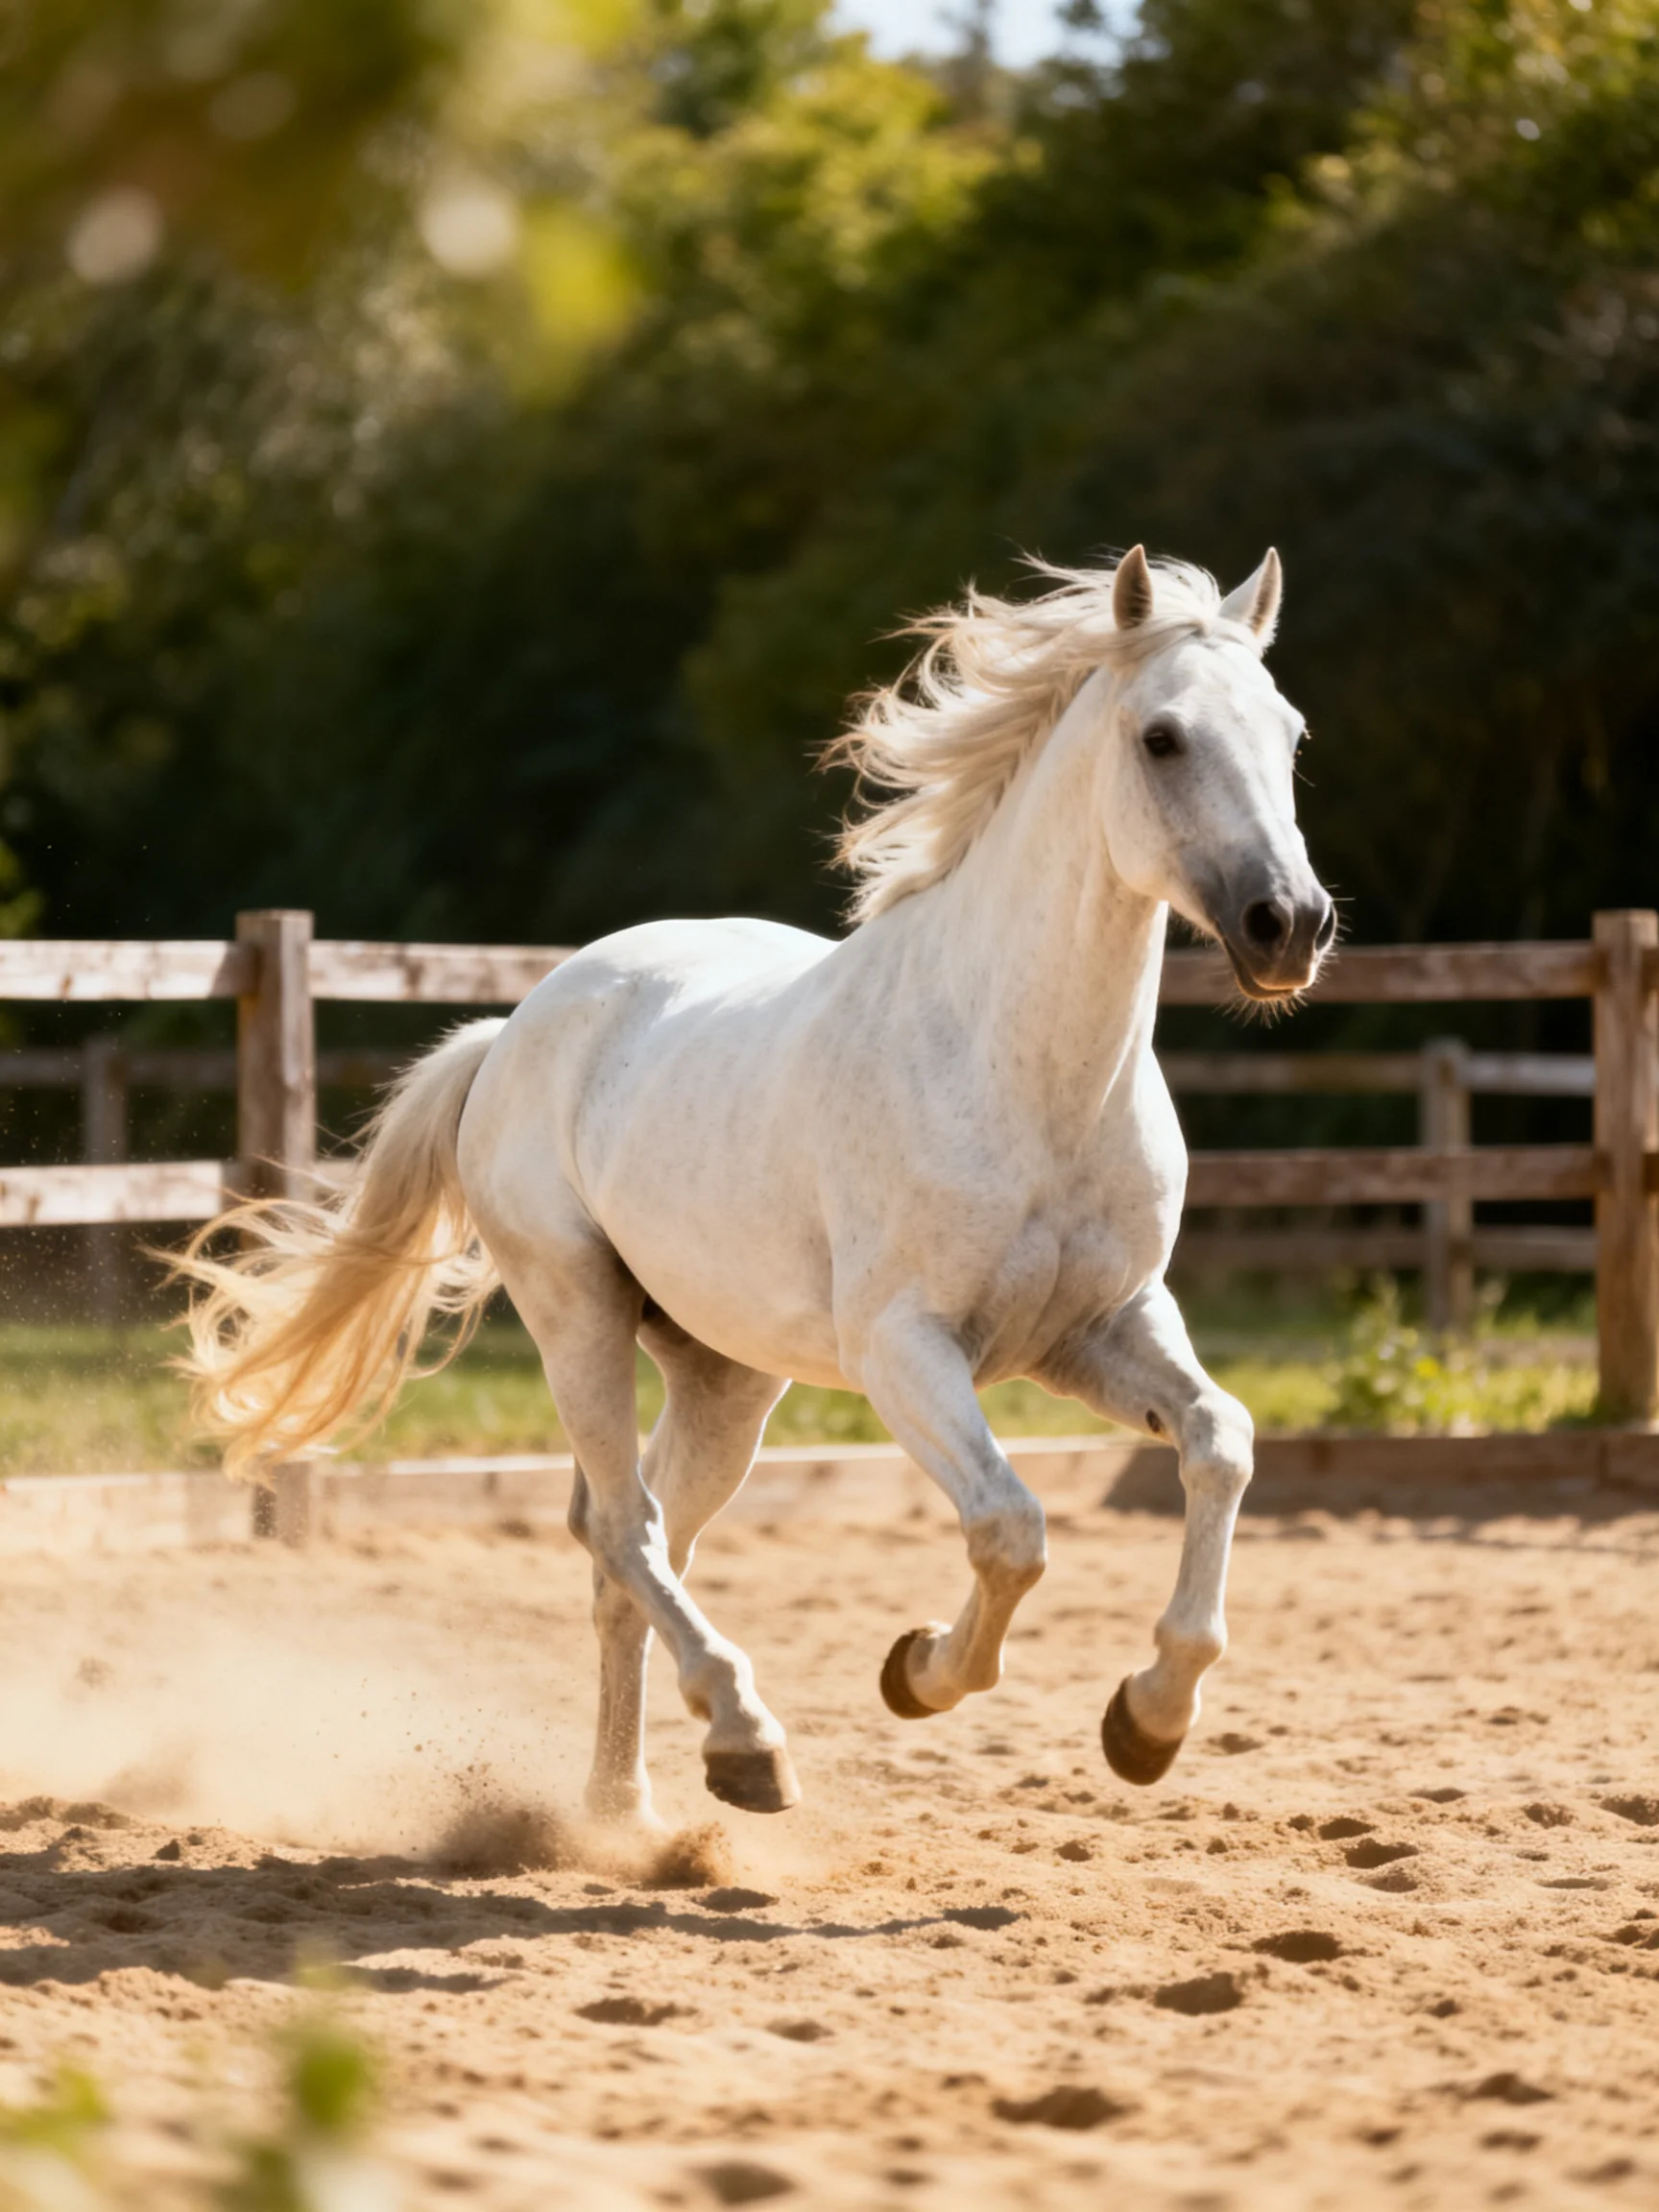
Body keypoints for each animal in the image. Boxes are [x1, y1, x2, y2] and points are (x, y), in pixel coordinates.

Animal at [180, 545, 1333, 1828]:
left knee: (628, 1548)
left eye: (1290, 733)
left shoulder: (1100, 1328)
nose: (1289, 926)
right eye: (1163, 737)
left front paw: (1149, 1720)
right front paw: (920, 1672)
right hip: (576, 1311)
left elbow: (1219, 1441)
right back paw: (743, 1741)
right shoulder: (903, 1348)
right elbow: (1012, 1528)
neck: (1024, 1072)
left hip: (726, 1379)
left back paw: (627, 1812)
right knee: (623, 1527)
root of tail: (514, 1032)